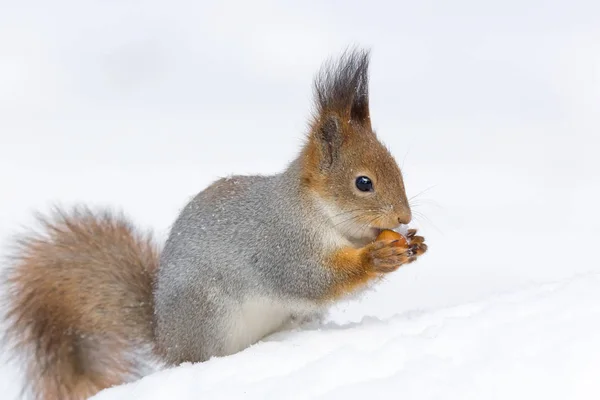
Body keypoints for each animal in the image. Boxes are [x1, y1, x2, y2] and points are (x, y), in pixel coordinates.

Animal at [3, 49, 426, 400]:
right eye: (363, 183)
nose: (404, 218)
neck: (324, 217)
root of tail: (165, 338)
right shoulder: (282, 243)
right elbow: (311, 279)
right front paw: (376, 257)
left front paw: (415, 243)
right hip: (209, 315)